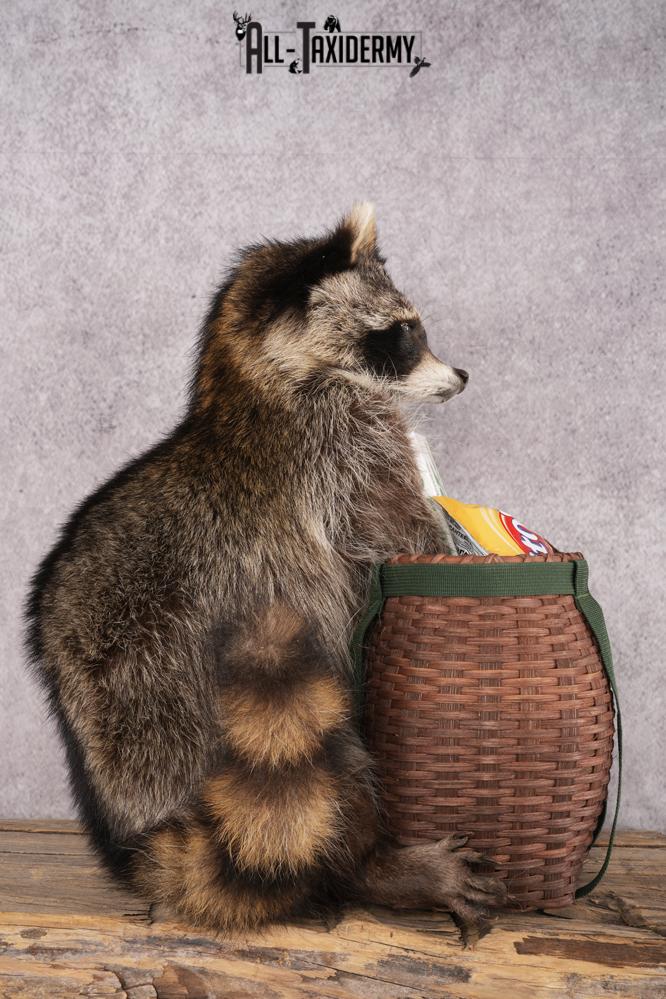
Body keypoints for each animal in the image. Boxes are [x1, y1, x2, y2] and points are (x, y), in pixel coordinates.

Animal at [25, 204, 505, 931]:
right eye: (403, 332)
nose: (462, 377)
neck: (252, 379)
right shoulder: (352, 458)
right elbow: (403, 538)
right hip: (197, 695)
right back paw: (371, 864)